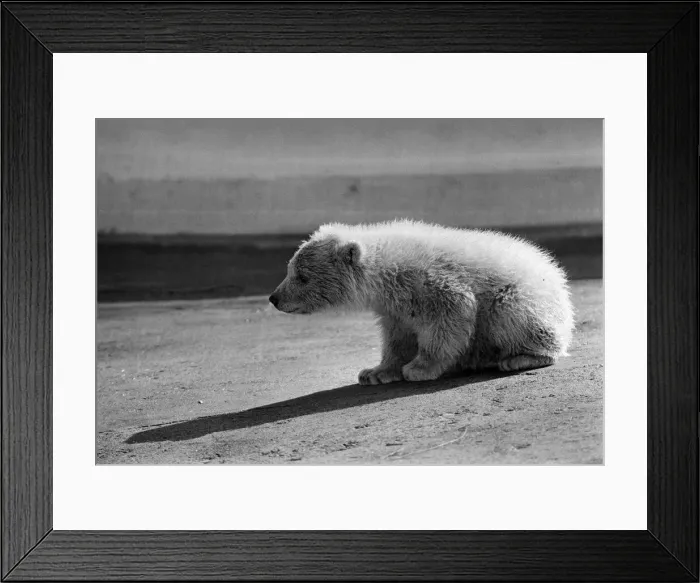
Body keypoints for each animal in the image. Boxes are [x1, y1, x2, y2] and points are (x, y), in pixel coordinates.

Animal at [269, 219, 574, 385]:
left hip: (522, 299)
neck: (385, 270)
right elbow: (397, 337)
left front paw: (420, 368)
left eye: (302, 277)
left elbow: (452, 313)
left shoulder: (428, 281)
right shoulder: (394, 306)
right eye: (289, 268)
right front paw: (376, 372)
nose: (274, 298)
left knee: (508, 314)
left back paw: (522, 357)